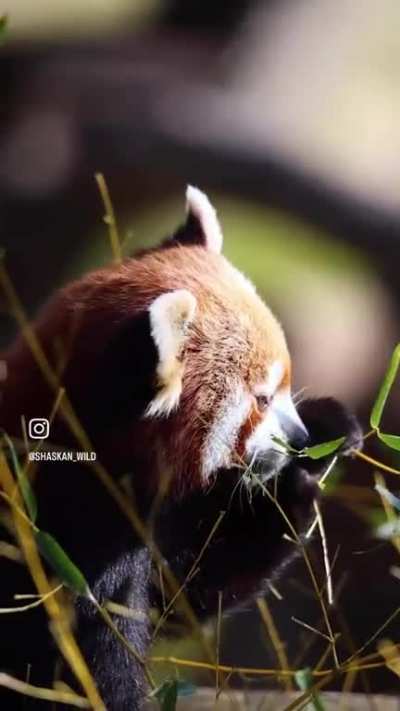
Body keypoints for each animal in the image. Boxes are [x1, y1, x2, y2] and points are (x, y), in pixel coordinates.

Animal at [0, 187, 362, 709]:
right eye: (261, 398)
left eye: (283, 389)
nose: (297, 439)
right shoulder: (56, 543)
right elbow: (84, 663)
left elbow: (185, 589)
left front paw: (316, 449)